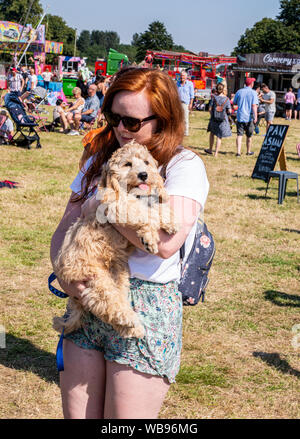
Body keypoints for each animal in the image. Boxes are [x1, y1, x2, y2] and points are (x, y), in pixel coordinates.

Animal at [53, 143, 179, 338]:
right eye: (127, 164)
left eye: (146, 162)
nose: (144, 175)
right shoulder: (117, 205)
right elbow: (144, 213)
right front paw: (149, 237)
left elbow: (158, 207)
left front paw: (170, 222)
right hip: (95, 276)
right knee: (105, 301)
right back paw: (129, 319)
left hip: (119, 278)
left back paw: (133, 328)